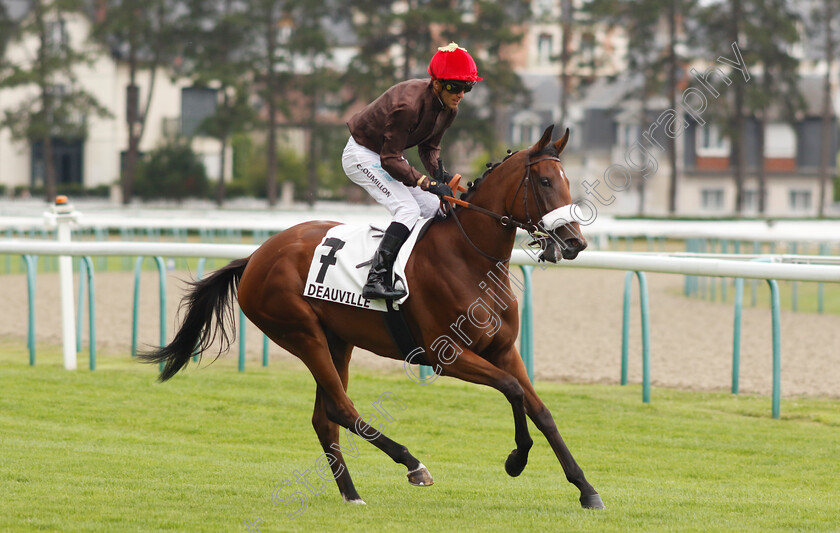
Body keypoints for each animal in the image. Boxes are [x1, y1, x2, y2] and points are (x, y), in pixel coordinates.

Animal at [143, 123, 604, 508]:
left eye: (567, 182)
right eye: (545, 181)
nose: (575, 242)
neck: (467, 257)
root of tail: (256, 256)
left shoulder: (504, 349)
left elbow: (540, 410)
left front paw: (586, 489)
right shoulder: (446, 356)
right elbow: (511, 390)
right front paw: (516, 460)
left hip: (337, 340)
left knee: (325, 417)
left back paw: (351, 493)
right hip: (301, 334)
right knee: (342, 410)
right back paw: (412, 464)